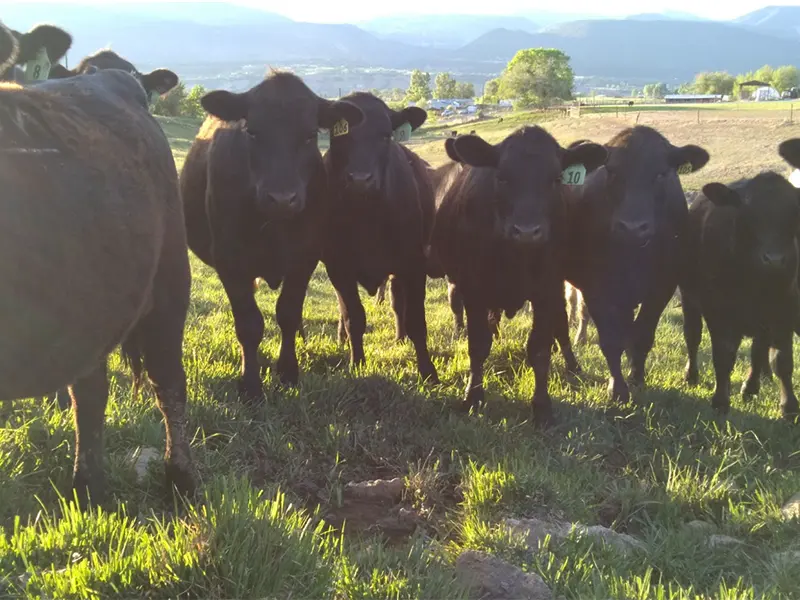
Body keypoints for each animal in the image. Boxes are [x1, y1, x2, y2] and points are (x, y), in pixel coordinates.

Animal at [181, 71, 364, 400]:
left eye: (309, 135)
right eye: (252, 132)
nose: (281, 198)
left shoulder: (305, 257)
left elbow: (288, 313)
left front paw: (288, 372)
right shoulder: (230, 261)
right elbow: (249, 324)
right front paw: (250, 384)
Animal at [322, 92, 438, 382]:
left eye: (386, 135)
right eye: (340, 135)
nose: (361, 179)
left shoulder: (413, 262)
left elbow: (416, 319)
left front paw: (428, 371)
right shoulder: (338, 266)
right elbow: (353, 317)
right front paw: (357, 363)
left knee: (398, 303)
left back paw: (400, 337)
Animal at [430, 127, 606, 423]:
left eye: (556, 178)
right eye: (502, 177)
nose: (526, 231)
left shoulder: (548, 290)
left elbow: (540, 348)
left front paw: (542, 406)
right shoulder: (473, 289)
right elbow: (478, 344)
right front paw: (473, 396)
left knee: (561, 327)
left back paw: (573, 365)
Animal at [563, 126, 709, 404]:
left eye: (661, 173)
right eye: (611, 171)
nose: (632, 227)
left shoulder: (662, 287)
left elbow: (641, 335)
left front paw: (637, 378)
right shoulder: (597, 288)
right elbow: (610, 339)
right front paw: (617, 388)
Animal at [682, 139, 800, 420]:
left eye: (795, 212)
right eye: (748, 214)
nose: (775, 260)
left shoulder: (784, 311)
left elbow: (781, 361)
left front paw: (789, 407)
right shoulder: (718, 311)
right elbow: (723, 356)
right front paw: (720, 401)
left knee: (758, 350)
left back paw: (751, 386)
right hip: (689, 300)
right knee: (692, 335)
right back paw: (691, 375)